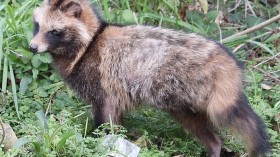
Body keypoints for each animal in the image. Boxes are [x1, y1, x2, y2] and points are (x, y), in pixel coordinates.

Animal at [29, 0, 270, 156]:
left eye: (54, 32)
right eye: (37, 26)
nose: (31, 47)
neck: (90, 42)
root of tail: (225, 61)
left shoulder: (104, 87)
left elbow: (105, 124)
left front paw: (98, 142)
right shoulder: (115, 93)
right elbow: (117, 125)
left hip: (189, 100)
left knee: (220, 131)